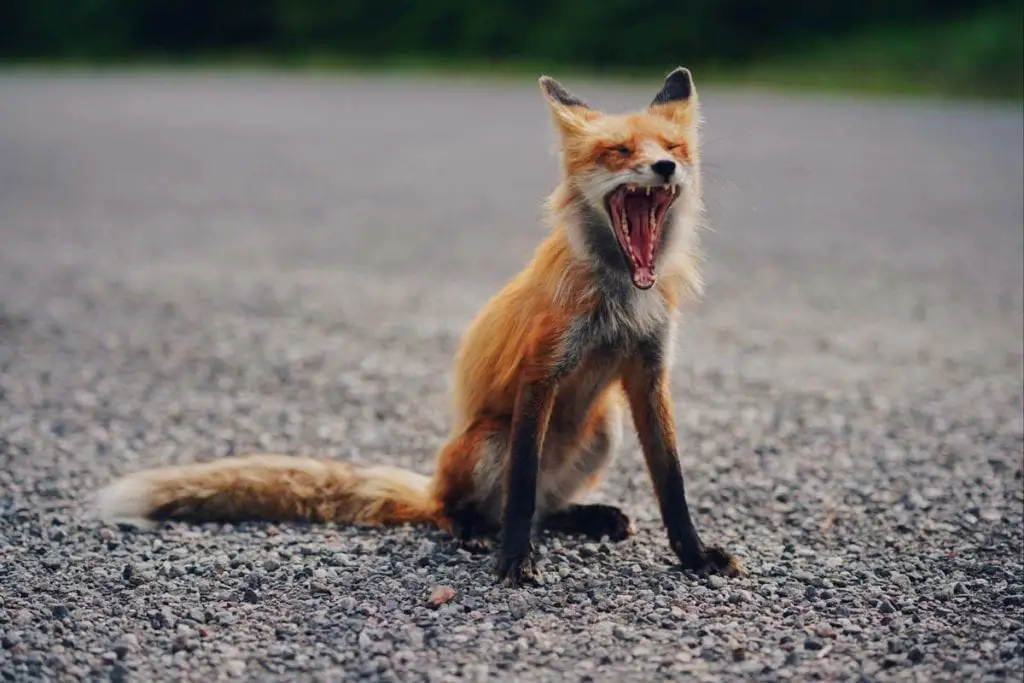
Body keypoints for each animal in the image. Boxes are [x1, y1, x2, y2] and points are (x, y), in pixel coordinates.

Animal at [92, 68, 741, 589]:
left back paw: (584, 517)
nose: (665, 166)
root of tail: (431, 484)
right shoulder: (540, 373)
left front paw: (694, 556)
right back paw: (472, 527)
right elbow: (523, 487)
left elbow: (672, 483)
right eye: (619, 150)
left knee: (543, 507)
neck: (619, 298)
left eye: (675, 147)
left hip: (602, 429)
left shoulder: (649, 375)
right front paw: (514, 561)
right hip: (492, 442)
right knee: (489, 505)